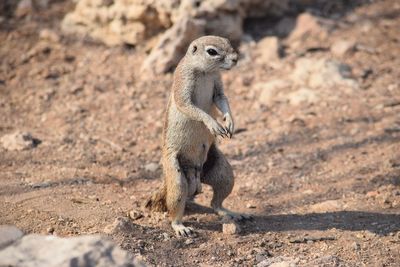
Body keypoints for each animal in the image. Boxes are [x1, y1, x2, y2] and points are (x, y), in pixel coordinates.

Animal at [145, 35, 252, 237]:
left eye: (228, 41)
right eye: (212, 51)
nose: (236, 59)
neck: (204, 72)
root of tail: (195, 177)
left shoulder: (217, 83)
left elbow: (222, 99)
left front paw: (229, 121)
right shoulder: (183, 82)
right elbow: (189, 106)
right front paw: (213, 123)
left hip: (224, 173)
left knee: (216, 203)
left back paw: (232, 213)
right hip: (176, 178)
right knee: (175, 208)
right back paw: (180, 227)